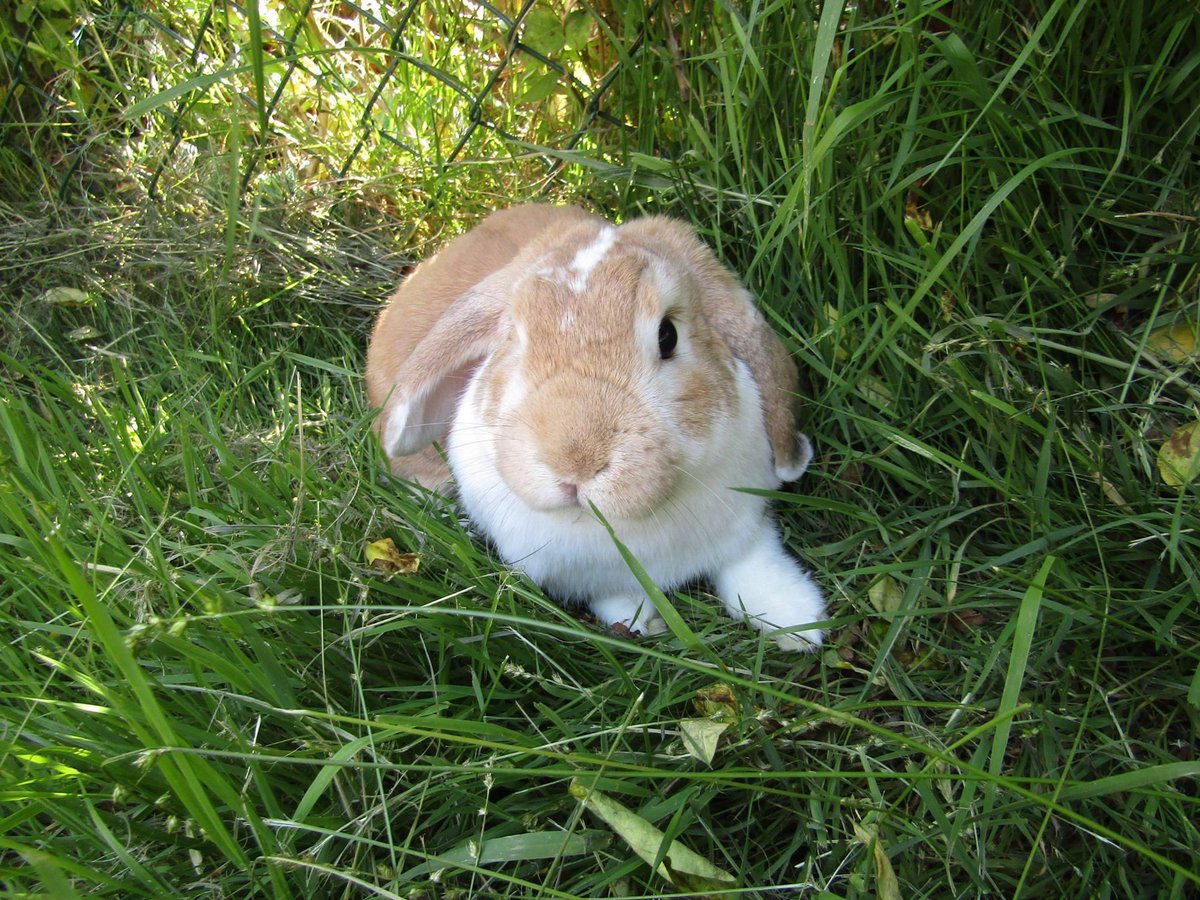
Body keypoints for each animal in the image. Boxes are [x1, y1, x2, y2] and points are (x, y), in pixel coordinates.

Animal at [365, 204, 826, 650]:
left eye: (668, 336)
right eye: (514, 340)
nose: (574, 462)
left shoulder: (746, 522)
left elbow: (755, 564)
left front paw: (798, 621)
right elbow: (614, 595)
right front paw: (640, 621)